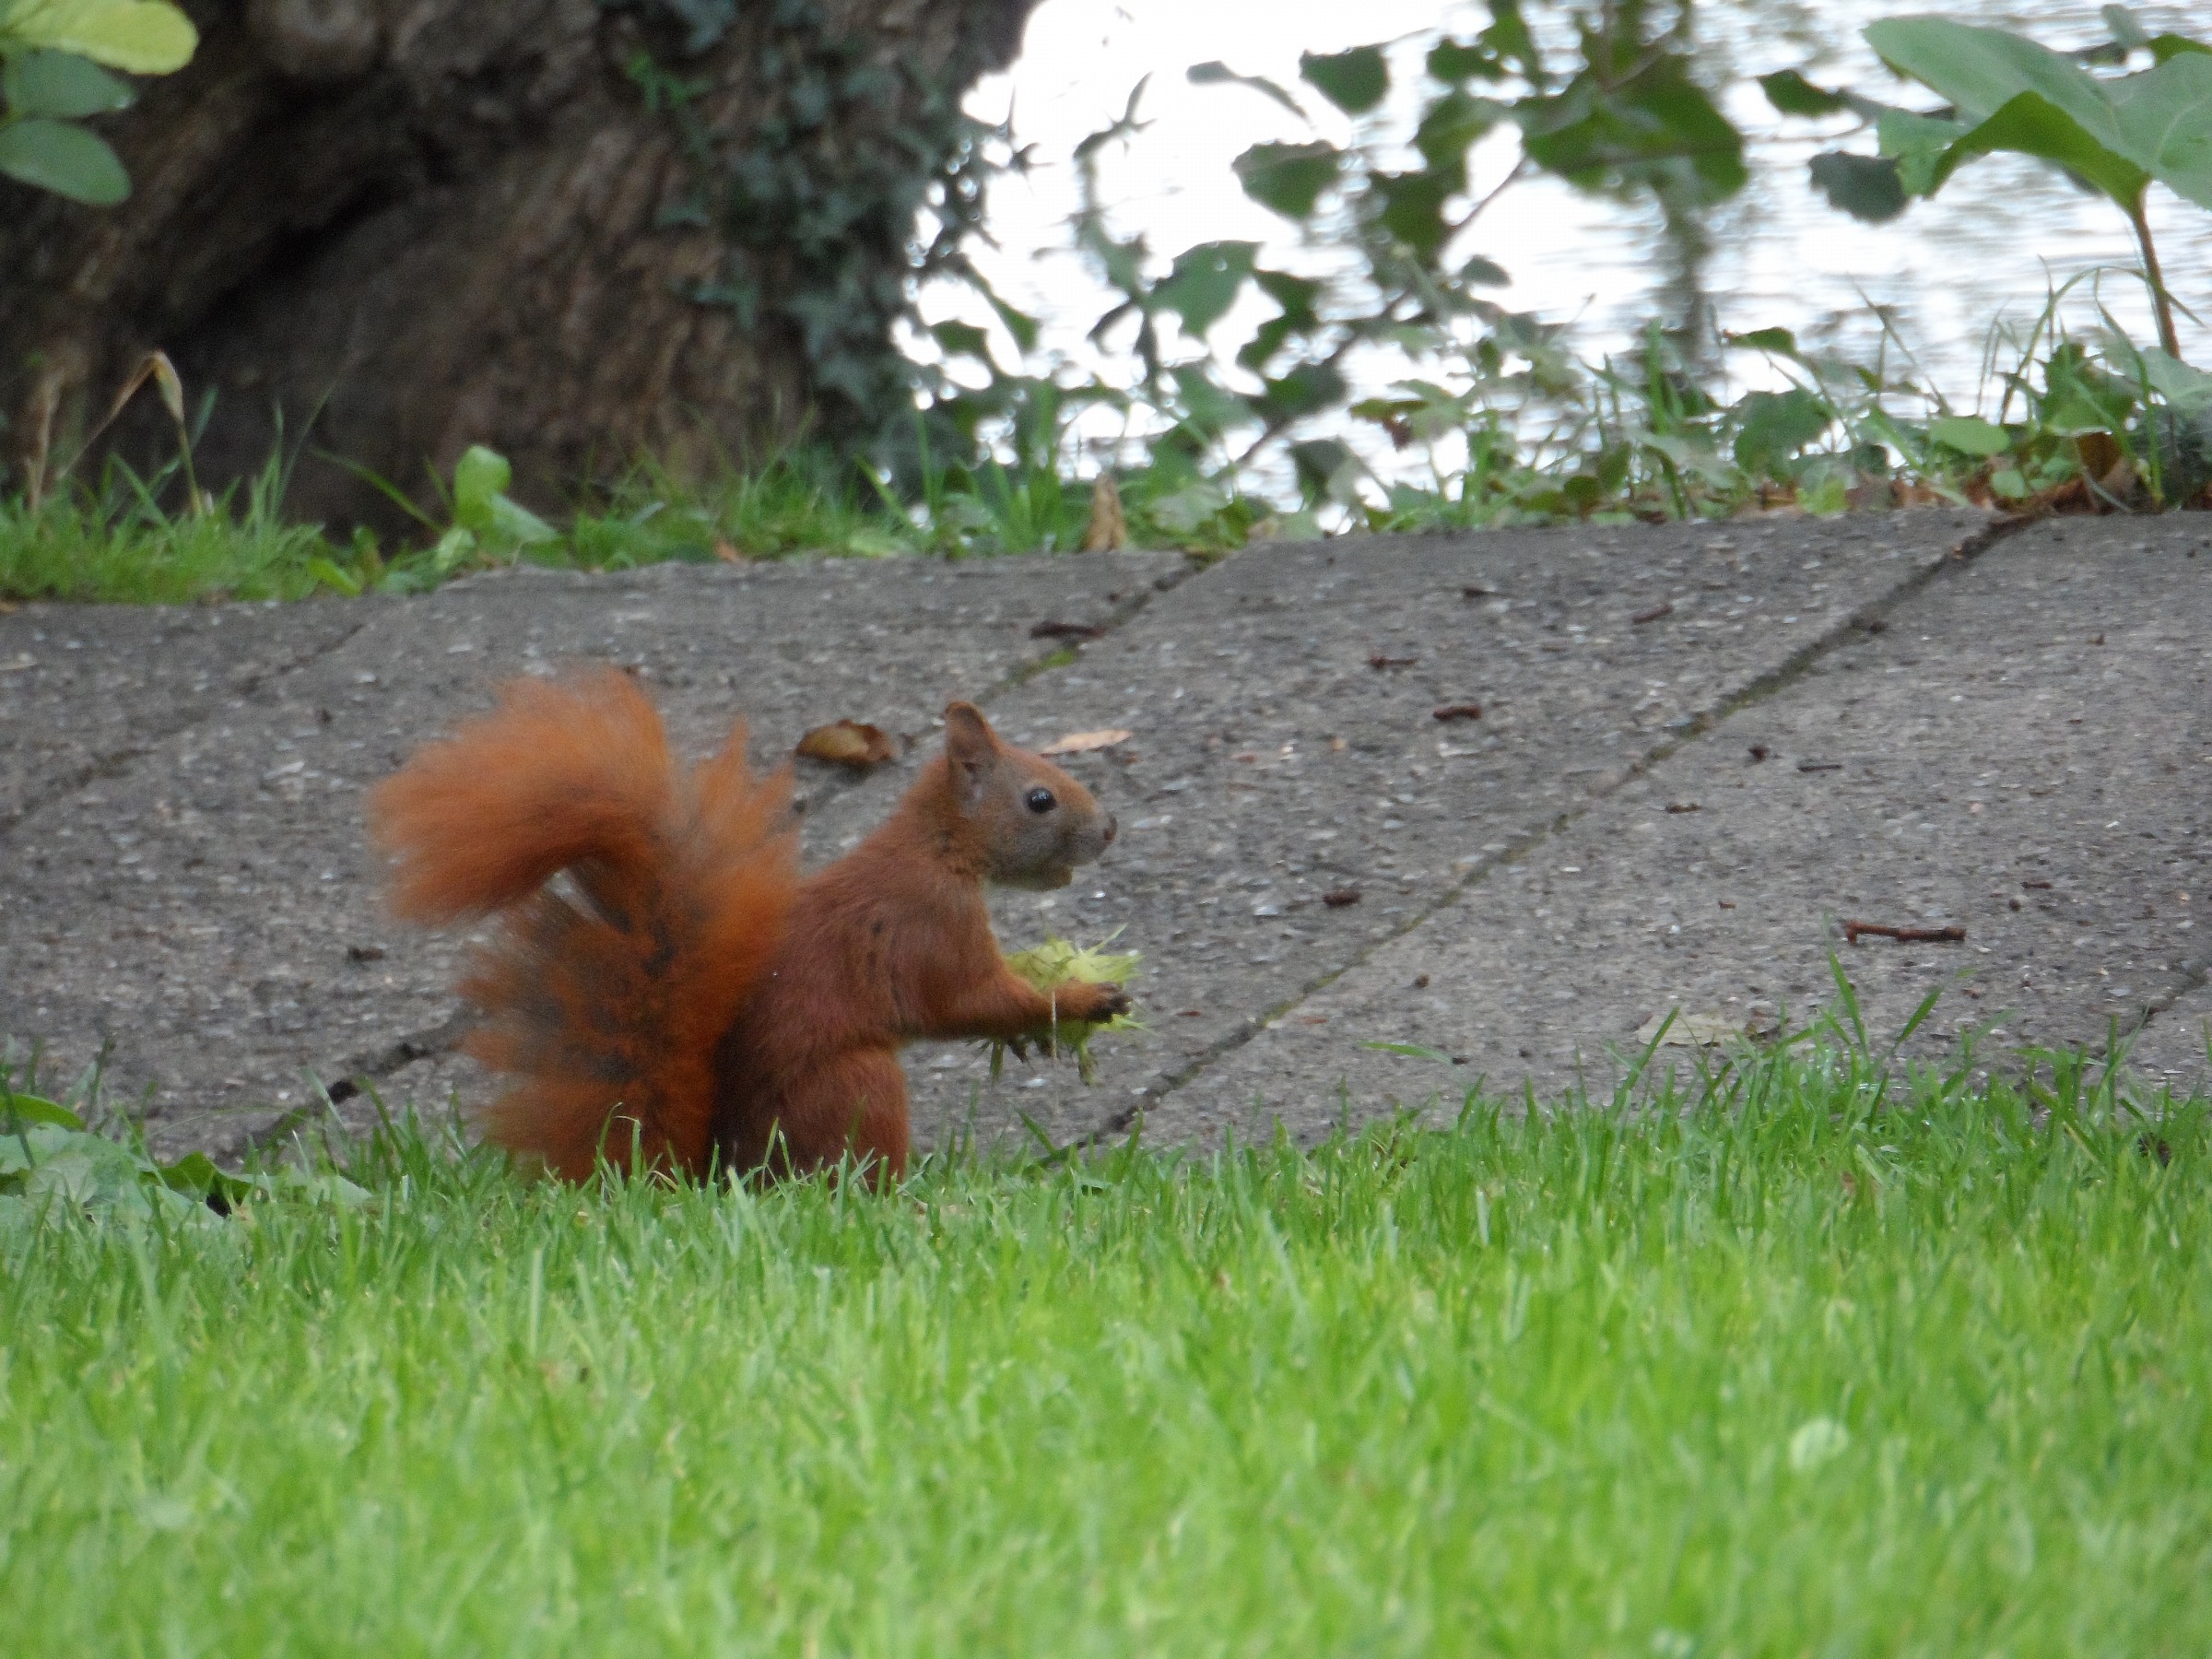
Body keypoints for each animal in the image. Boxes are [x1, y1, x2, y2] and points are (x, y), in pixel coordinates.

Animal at [368, 668, 1128, 1184]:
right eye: (1039, 799)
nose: (1111, 829)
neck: (939, 850)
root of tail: (722, 1170)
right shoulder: (934, 926)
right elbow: (968, 1000)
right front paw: (1081, 1000)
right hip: (856, 1086)